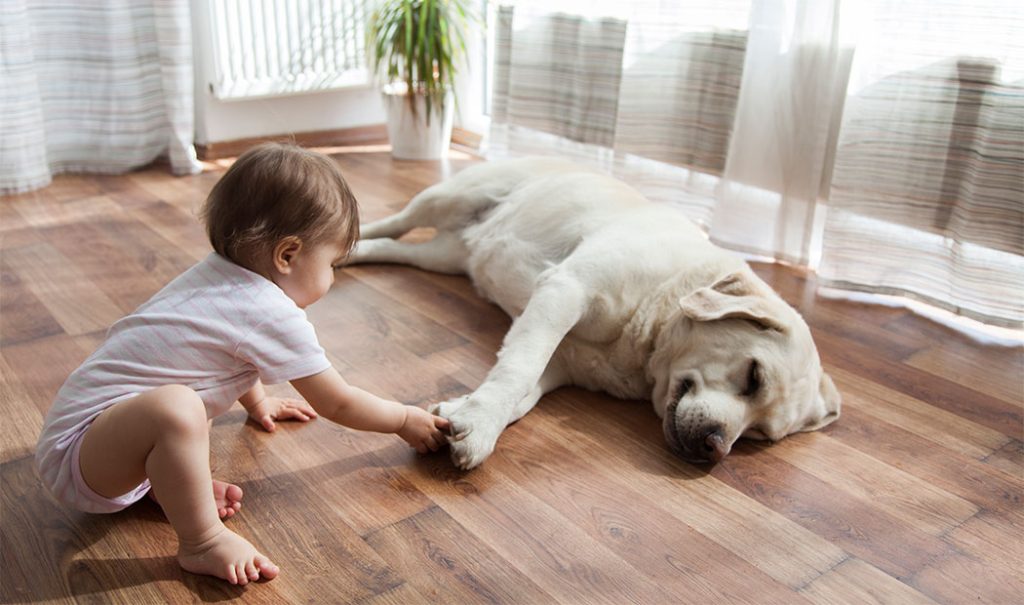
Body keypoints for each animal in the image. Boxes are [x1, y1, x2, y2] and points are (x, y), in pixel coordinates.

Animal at [348, 158, 835, 470]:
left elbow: (521, 393)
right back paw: (342, 245)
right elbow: (518, 372)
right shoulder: (565, 291)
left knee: (393, 246)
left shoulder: (560, 363)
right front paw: (481, 425)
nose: (716, 449)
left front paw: (464, 414)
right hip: (448, 197)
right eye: (754, 376)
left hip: (445, 257)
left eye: (760, 435)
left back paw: (354, 255)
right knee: (393, 222)